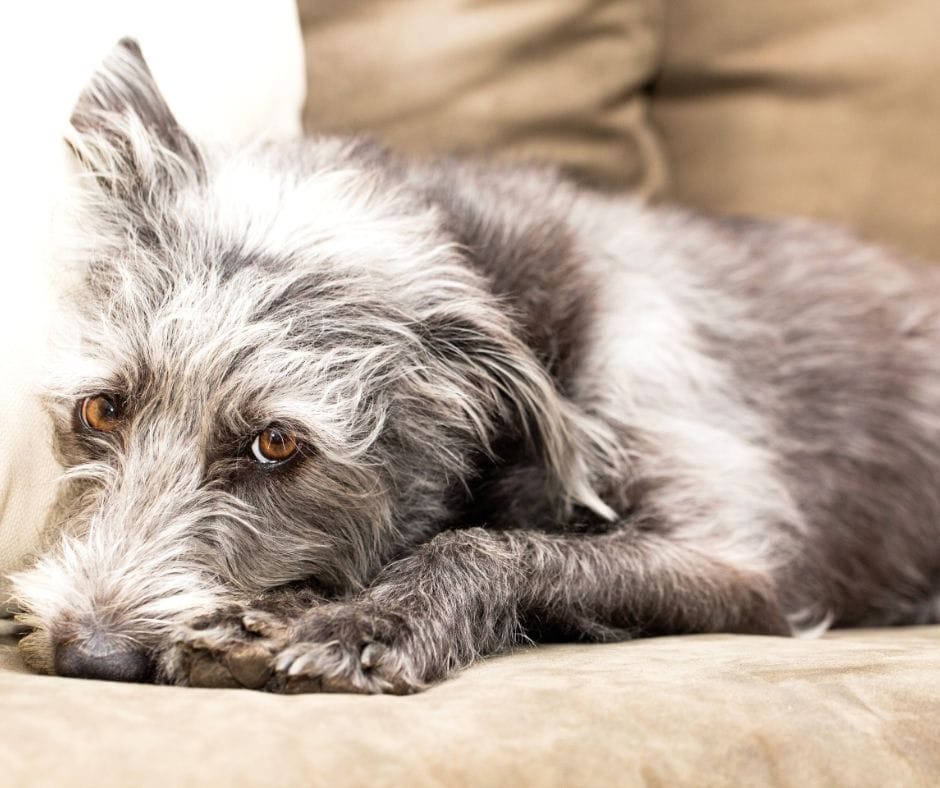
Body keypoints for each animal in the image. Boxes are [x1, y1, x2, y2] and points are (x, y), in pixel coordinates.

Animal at [7, 38, 940, 688]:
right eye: (101, 409)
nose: (93, 657)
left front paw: (364, 622)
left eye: (277, 444)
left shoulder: (742, 565)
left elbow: (492, 543)